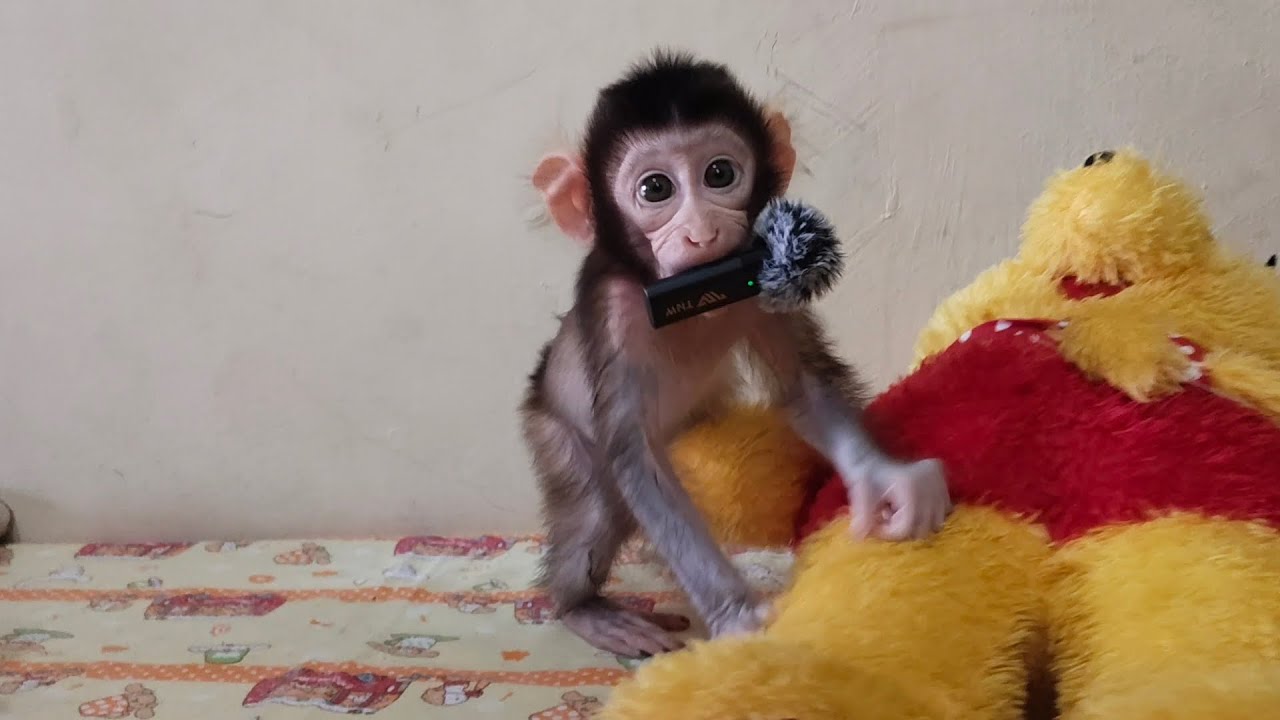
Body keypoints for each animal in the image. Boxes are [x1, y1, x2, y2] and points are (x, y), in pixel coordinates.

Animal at [520, 51, 952, 658]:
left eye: (720, 174)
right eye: (655, 189)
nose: (701, 234)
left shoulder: (761, 280)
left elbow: (801, 386)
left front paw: (886, 481)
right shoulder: (615, 309)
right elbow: (634, 453)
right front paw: (736, 613)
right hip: (551, 428)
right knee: (597, 505)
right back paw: (583, 608)